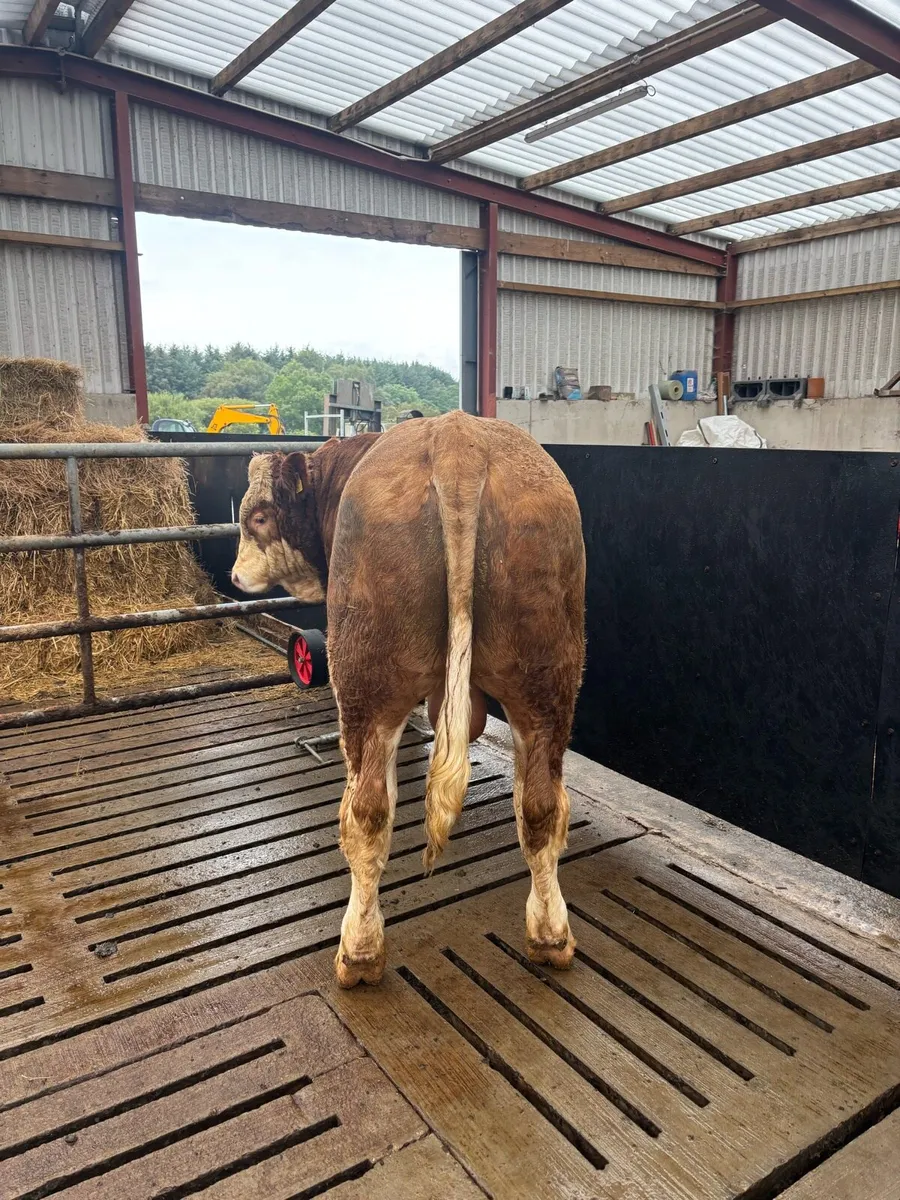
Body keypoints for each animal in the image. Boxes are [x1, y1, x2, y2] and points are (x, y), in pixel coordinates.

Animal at [232, 410, 585, 988]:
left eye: (258, 516)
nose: (236, 576)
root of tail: (458, 439)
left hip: (366, 675)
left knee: (367, 812)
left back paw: (358, 953)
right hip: (547, 677)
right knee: (539, 805)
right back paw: (551, 936)